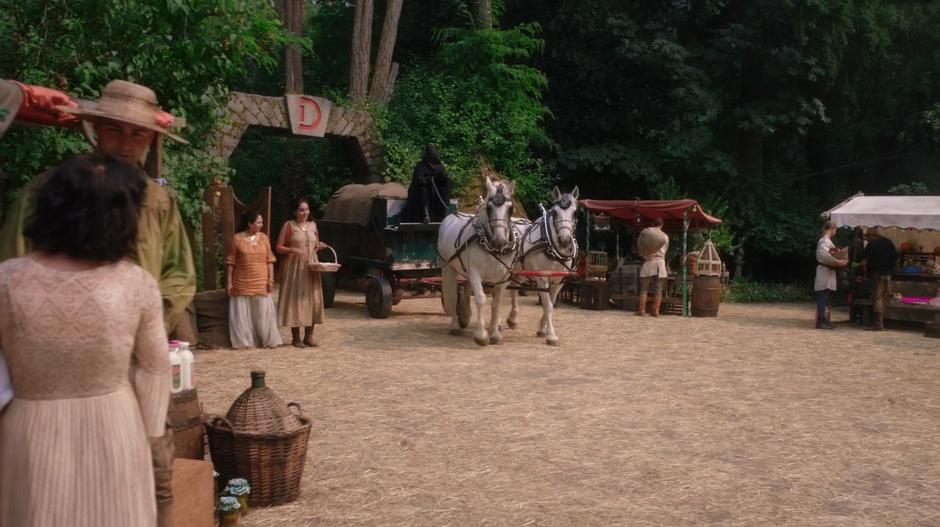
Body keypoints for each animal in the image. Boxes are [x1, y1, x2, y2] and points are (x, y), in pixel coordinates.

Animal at [436, 177, 516, 346]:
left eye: (510, 208)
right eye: (489, 207)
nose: (500, 241)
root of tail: (451, 216)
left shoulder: (503, 278)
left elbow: (496, 303)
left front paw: (495, 334)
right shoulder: (475, 273)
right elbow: (480, 299)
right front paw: (481, 335)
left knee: (466, 289)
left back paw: (465, 316)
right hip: (448, 268)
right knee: (452, 296)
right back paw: (455, 326)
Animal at [510, 186, 576, 346]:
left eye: (575, 212)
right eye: (555, 212)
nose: (565, 241)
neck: (550, 247)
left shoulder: (558, 282)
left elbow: (550, 304)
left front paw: (542, 329)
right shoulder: (542, 279)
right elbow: (548, 306)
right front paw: (551, 335)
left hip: (521, 272)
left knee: (514, 289)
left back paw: (512, 319)